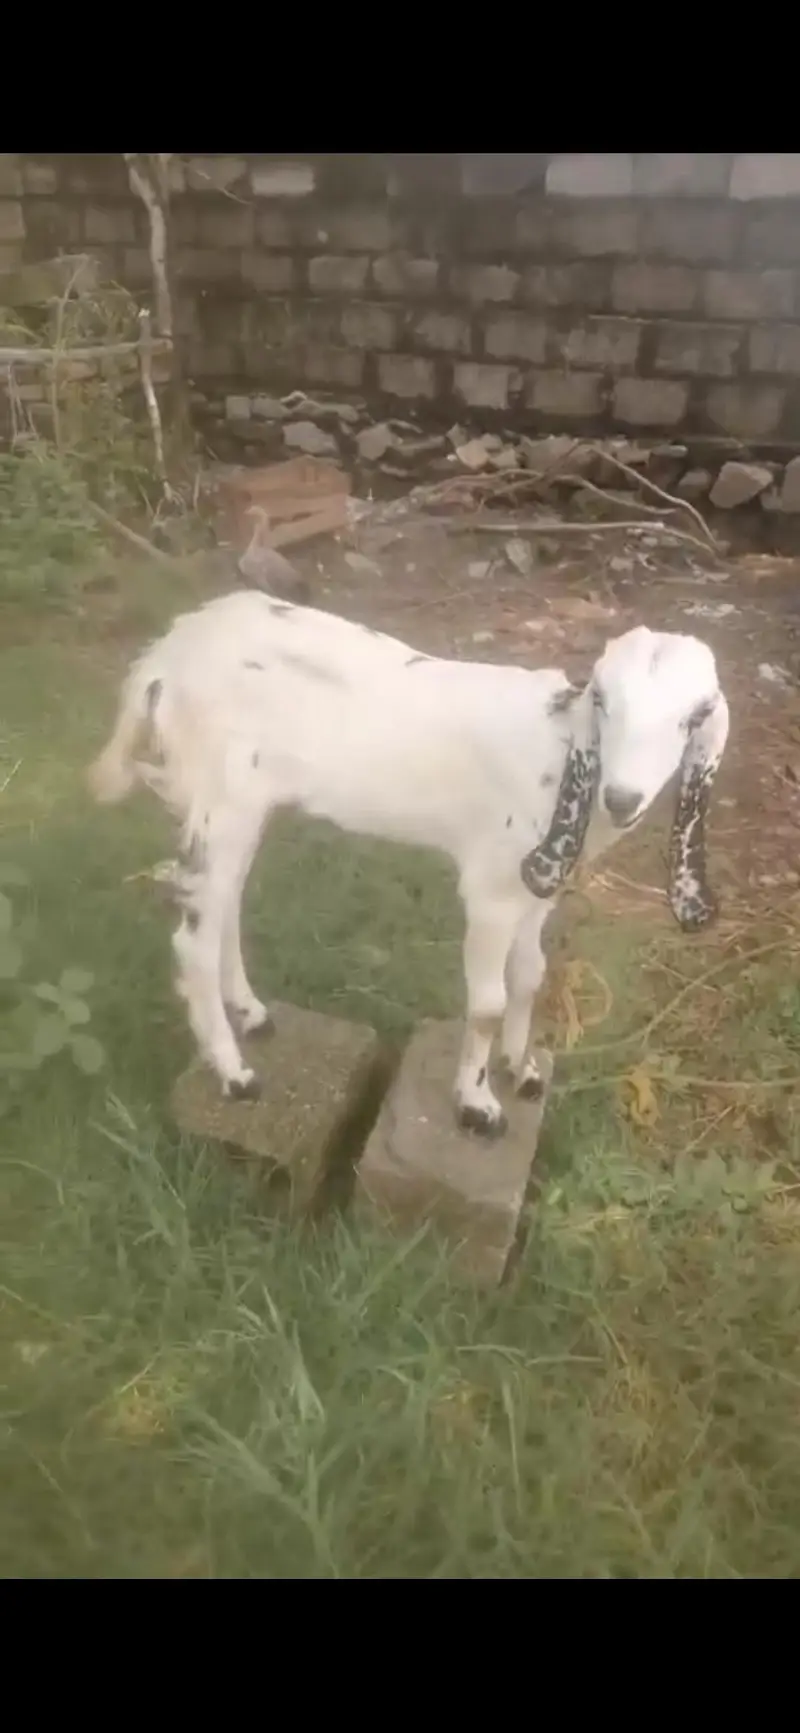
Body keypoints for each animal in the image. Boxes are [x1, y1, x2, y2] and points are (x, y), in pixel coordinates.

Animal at [87, 595, 729, 1136]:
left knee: (225, 903)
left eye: (693, 717)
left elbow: (531, 975)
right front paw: (477, 1106)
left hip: (241, 805)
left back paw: (251, 1015)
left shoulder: (536, 888)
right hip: (219, 799)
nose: (623, 797)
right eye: (603, 702)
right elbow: (488, 1004)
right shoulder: (491, 890)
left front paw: (522, 1070)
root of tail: (169, 651)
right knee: (192, 937)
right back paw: (235, 1074)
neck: (556, 752)